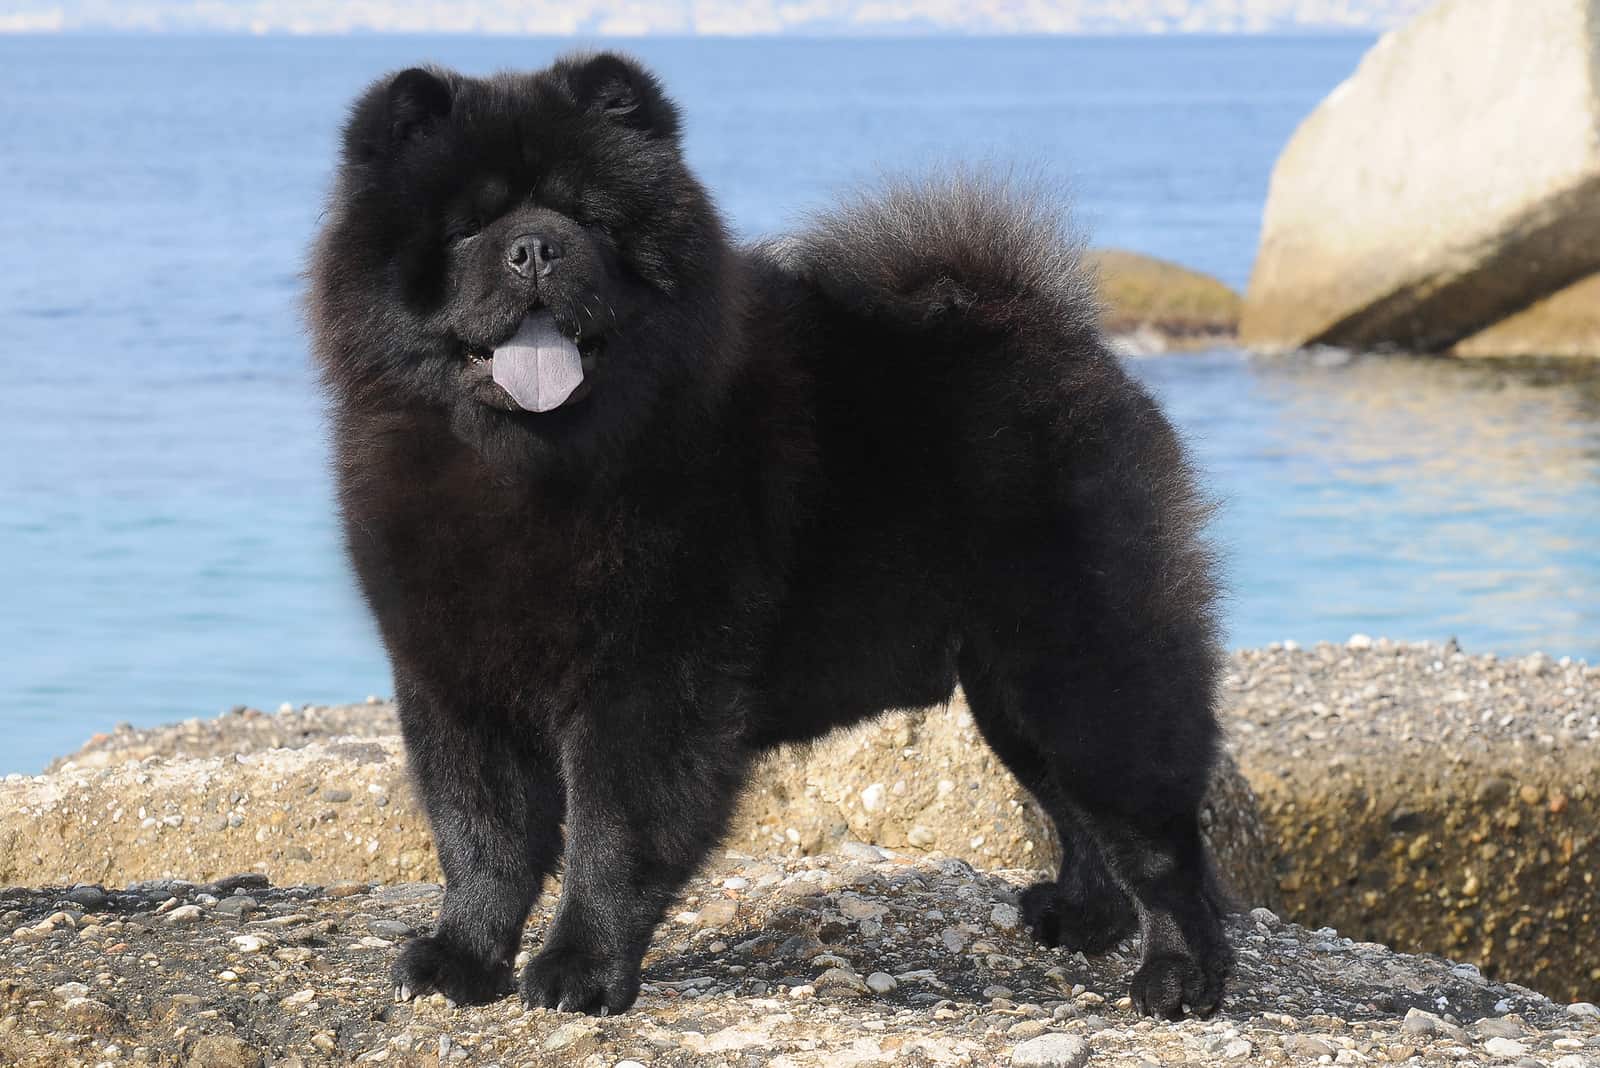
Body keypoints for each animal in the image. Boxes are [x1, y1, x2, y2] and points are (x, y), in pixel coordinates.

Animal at [312, 54, 1235, 1023]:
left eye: (591, 220)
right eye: (469, 228)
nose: (534, 247)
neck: (531, 464)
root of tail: (1063, 337)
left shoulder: (647, 682)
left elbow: (610, 834)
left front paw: (580, 970)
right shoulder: (454, 679)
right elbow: (480, 835)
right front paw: (460, 959)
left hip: (1081, 662)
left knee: (1155, 833)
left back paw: (1179, 977)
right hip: (1006, 685)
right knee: (1071, 806)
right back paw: (1081, 917)